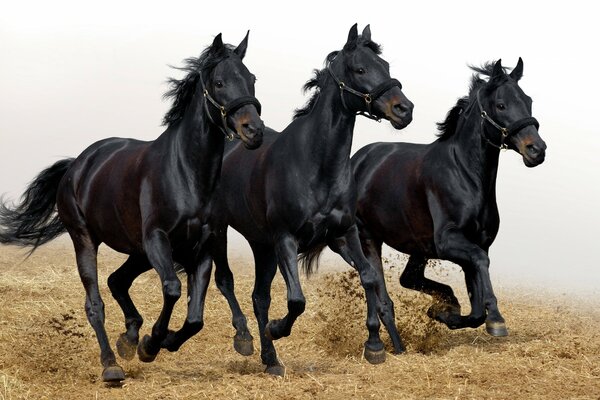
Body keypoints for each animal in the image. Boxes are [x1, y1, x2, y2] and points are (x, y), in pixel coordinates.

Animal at [0, 33, 262, 382]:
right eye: (219, 82)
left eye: (252, 79)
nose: (254, 131)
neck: (186, 173)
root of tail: (78, 165)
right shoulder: (157, 239)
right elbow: (173, 288)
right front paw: (152, 343)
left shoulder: (204, 245)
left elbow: (196, 316)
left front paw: (161, 341)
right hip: (87, 240)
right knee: (95, 302)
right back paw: (112, 364)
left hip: (138, 252)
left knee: (117, 281)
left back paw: (129, 338)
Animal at [210, 25, 412, 376]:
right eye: (360, 69)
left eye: (385, 66)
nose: (404, 109)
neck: (316, 166)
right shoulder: (286, 239)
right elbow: (296, 300)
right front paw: (278, 328)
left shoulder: (344, 234)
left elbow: (369, 277)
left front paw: (374, 346)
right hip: (222, 230)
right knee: (227, 281)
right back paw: (247, 339)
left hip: (262, 246)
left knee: (259, 297)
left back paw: (271, 360)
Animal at [350, 58, 548, 338]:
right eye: (501, 105)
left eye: (528, 101)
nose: (537, 150)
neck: (465, 175)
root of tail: (357, 159)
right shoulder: (449, 242)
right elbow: (481, 263)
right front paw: (496, 319)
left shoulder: (475, 244)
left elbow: (476, 309)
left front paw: (445, 313)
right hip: (369, 237)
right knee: (380, 286)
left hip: (418, 247)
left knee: (408, 278)